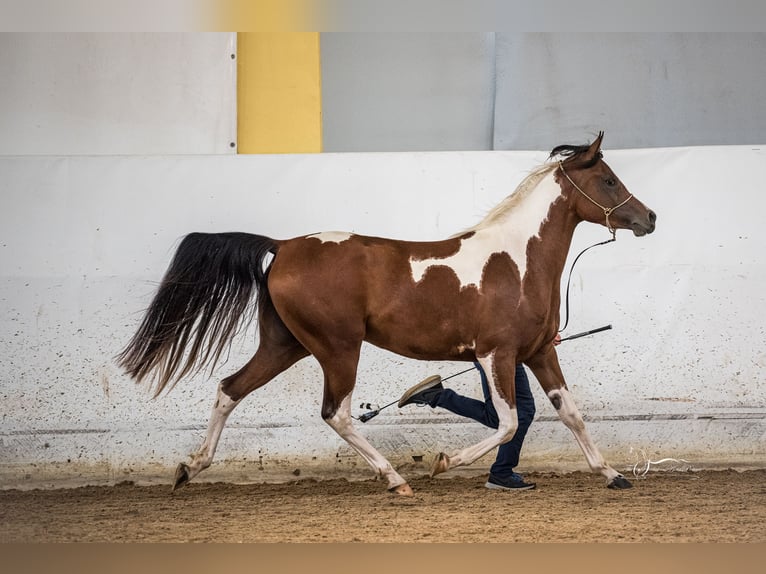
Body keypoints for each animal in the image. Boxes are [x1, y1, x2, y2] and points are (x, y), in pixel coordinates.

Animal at [117, 132, 656, 496]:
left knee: (230, 389)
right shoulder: (495, 355)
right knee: (336, 413)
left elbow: (569, 413)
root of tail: (283, 245)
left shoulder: (539, 352)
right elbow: (506, 422)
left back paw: (190, 467)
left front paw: (612, 474)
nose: (649, 218)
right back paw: (396, 479)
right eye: (608, 180)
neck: (515, 259)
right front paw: (443, 461)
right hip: (337, 348)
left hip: (285, 345)